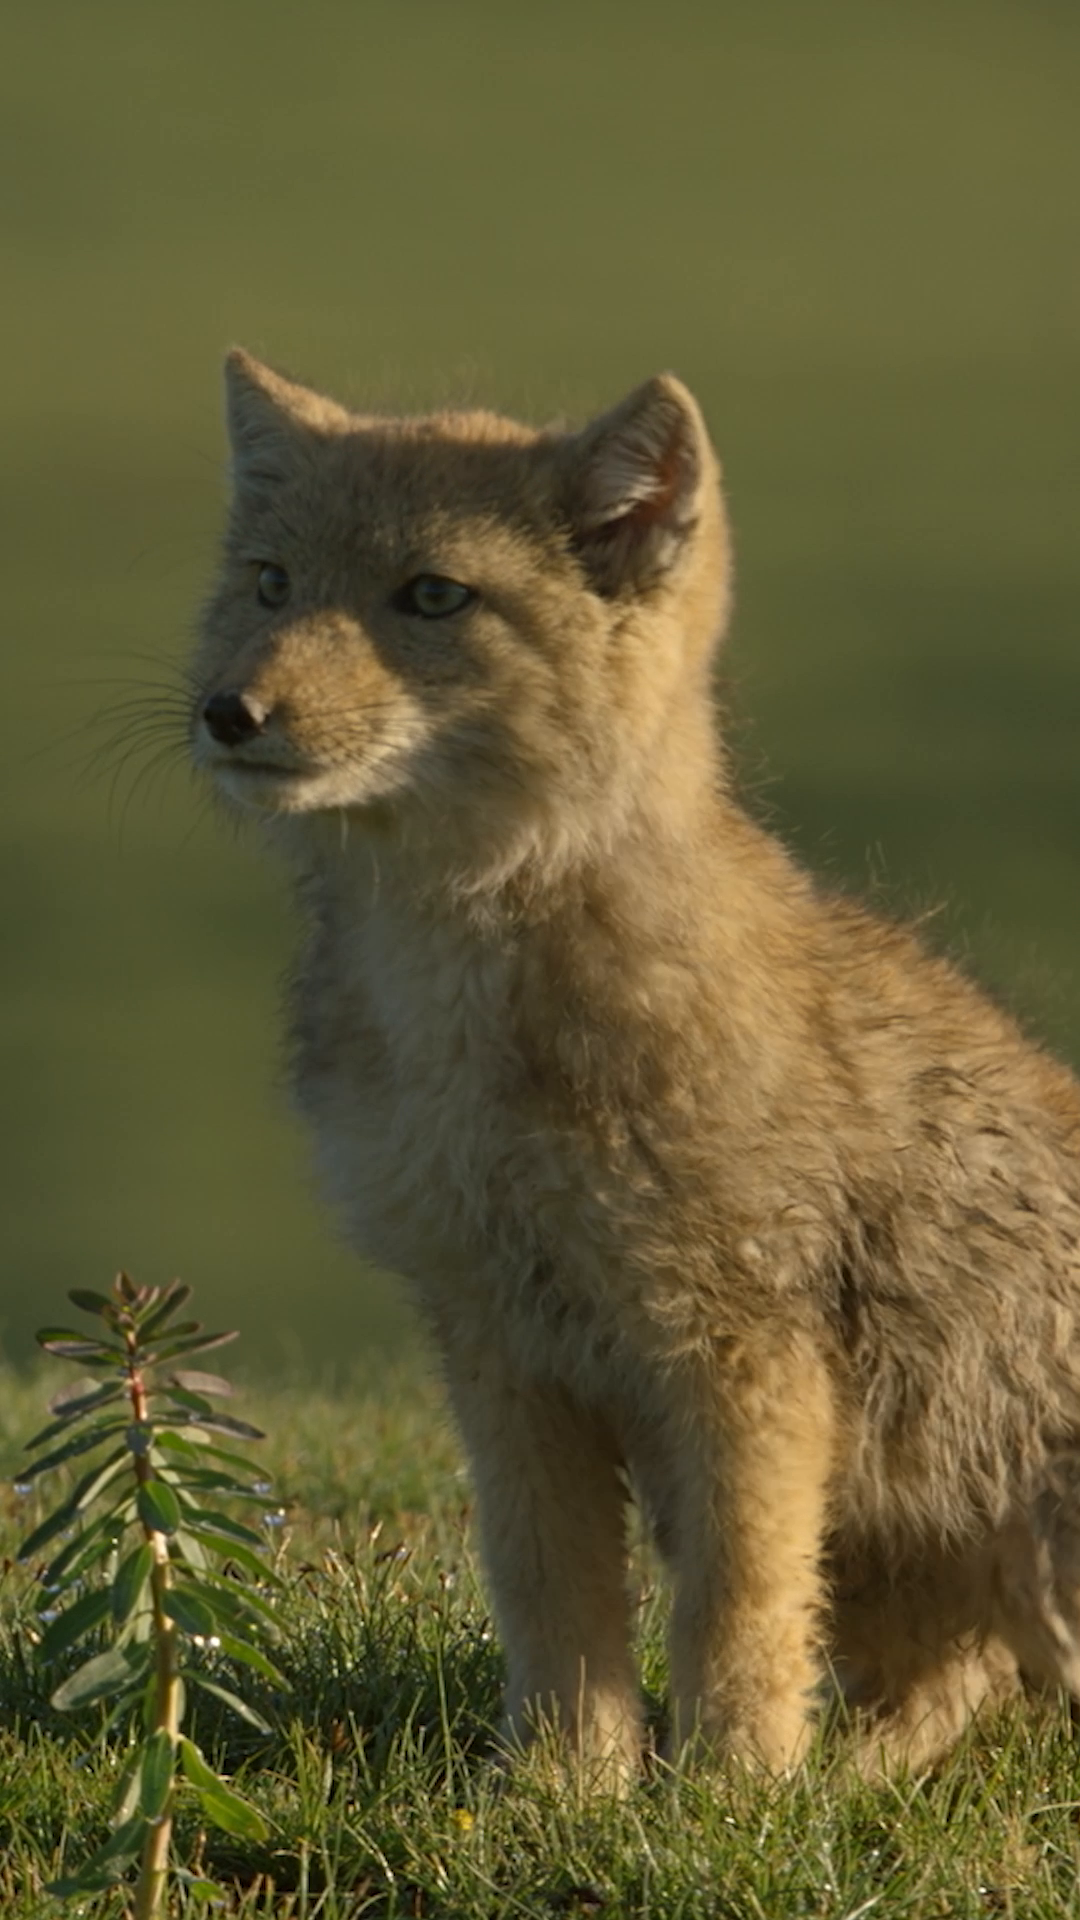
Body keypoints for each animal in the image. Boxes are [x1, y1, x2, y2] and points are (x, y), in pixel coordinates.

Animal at [191, 350, 1080, 1784]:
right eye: (271, 583)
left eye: (431, 595)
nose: (230, 711)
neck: (465, 1013)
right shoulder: (497, 1342)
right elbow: (549, 1593)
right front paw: (569, 1786)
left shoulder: (735, 1349)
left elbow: (737, 1606)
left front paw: (733, 1792)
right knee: (960, 1687)